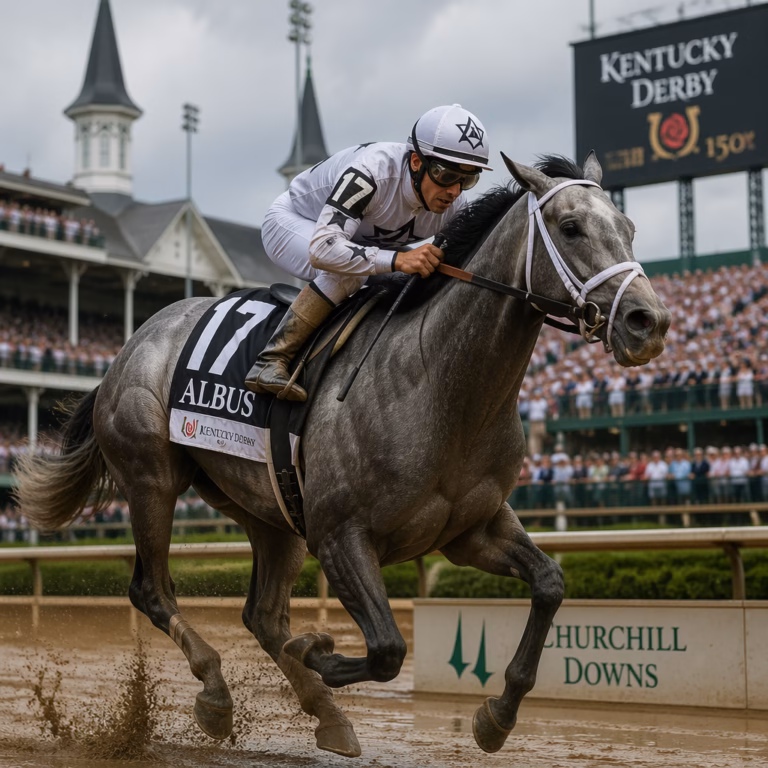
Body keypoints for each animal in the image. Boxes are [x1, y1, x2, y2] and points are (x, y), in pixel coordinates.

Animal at [14, 152, 670, 758]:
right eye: (570, 226)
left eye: (629, 226)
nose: (650, 321)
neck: (437, 383)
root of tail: (130, 346)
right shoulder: (340, 534)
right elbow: (387, 650)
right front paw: (319, 651)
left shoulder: (471, 528)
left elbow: (550, 584)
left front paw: (496, 715)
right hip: (152, 480)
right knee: (154, 590)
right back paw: (218, 695)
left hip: (270, 511)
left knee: (262, 614)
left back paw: (324, 713)